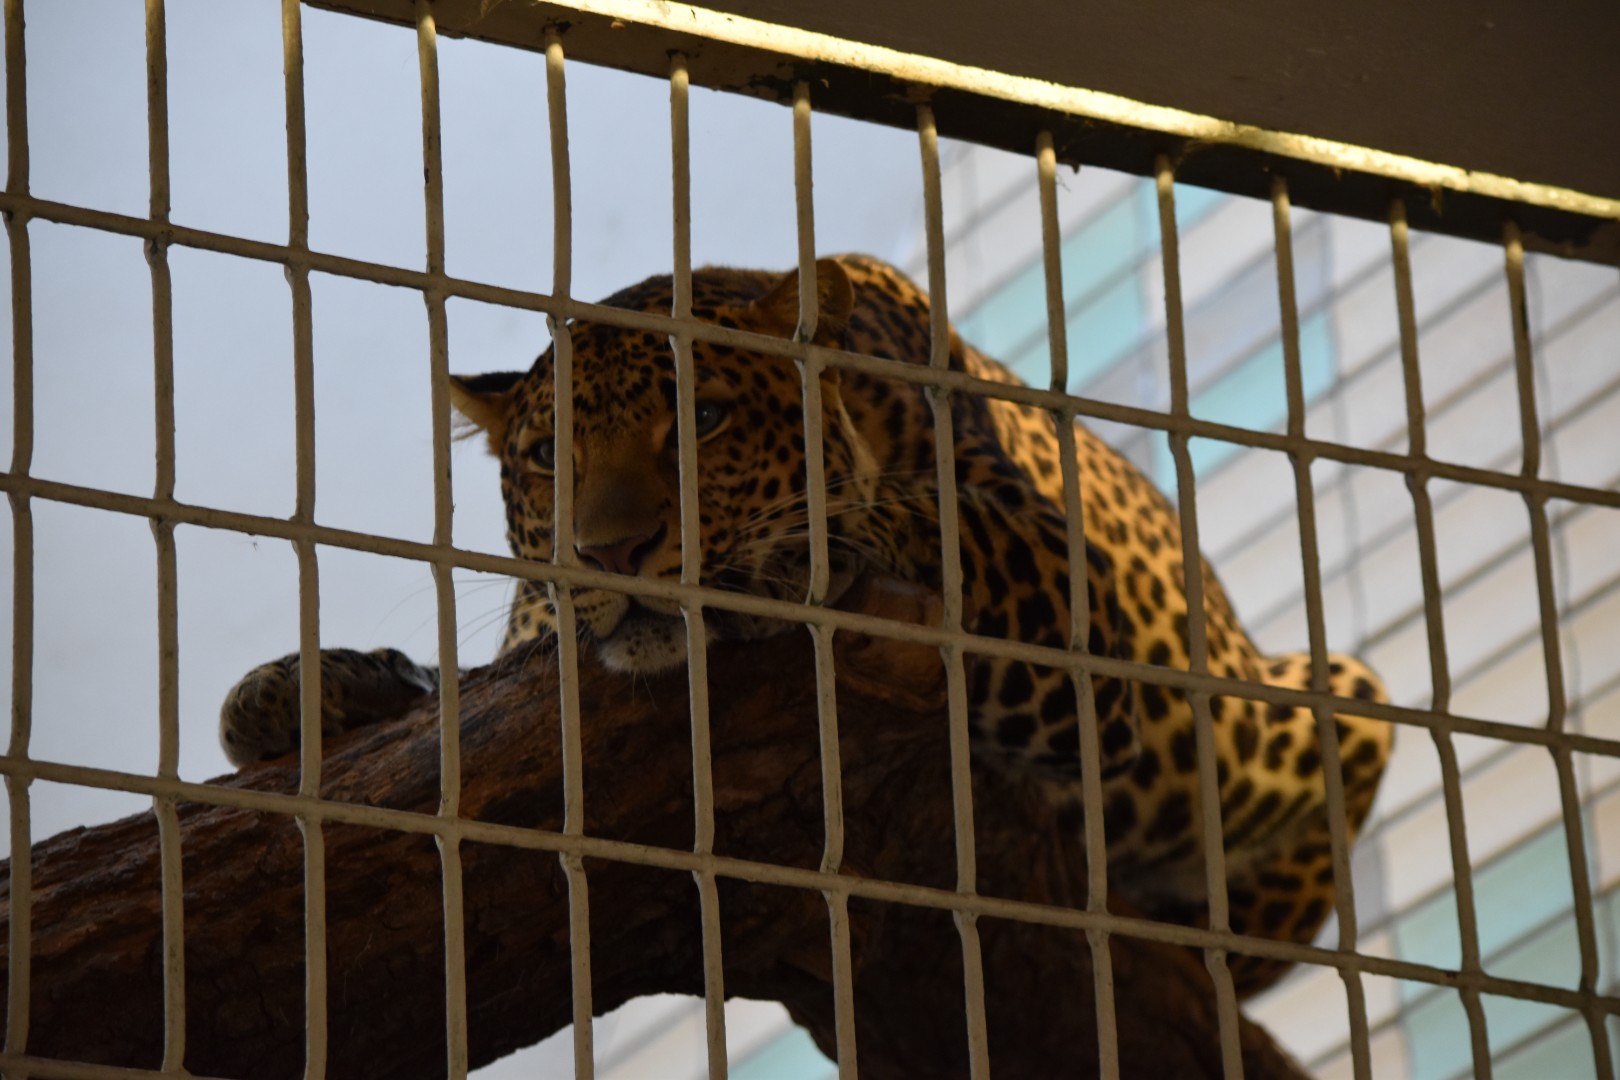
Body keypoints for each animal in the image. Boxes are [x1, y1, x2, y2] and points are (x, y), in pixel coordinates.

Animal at [221, 254, 1392, 996]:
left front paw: (801, 546)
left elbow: (931, 517)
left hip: (1308, 706)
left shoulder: (1063, 593)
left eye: (702, 421)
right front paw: (305, 688)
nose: (613, 551)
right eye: (550, 458)